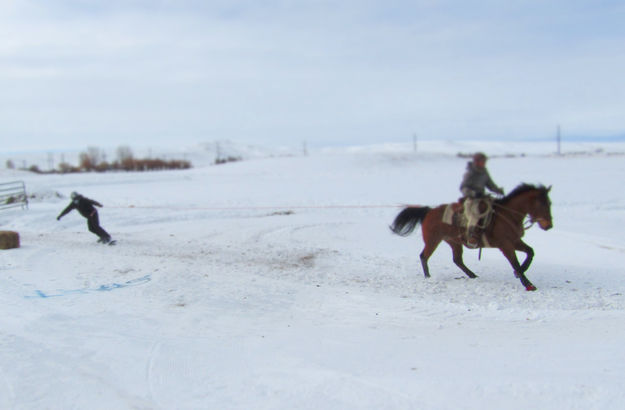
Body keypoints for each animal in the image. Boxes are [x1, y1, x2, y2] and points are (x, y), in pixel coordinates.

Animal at [390, 184, 552, 290]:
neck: (509, 215)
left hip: (454, 242)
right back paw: (429, 277)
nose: (548, 225)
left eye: (549, 203)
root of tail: (429, 211)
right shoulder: (505, 245)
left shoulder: (515, 241)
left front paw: (520, 273)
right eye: (541, 203)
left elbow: (530, 253)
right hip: (433, 240)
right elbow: (515, 263)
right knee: (424, 256)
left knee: (457, 260)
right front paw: (528, 283)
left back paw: (473, 276)